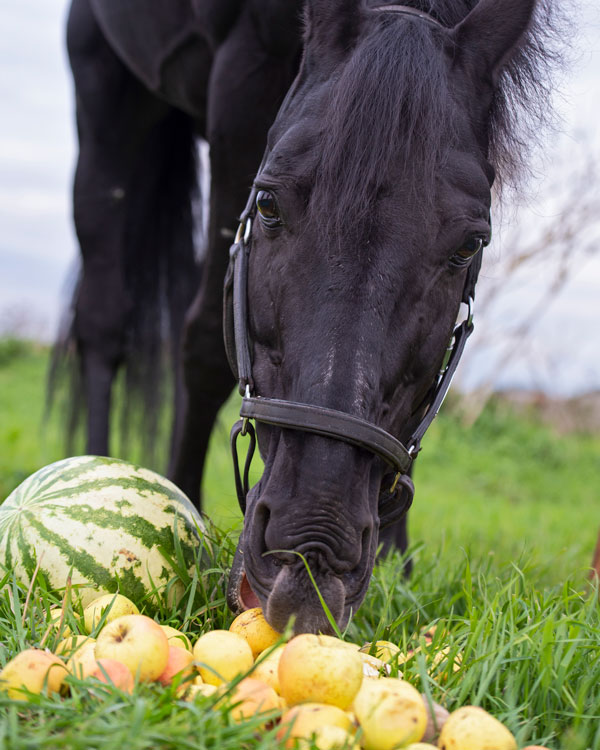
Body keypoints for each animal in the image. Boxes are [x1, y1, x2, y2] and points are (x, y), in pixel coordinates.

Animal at [61, 0, 556, 636]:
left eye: (469, 246)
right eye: (268, 204)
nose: (311, 556)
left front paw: (397, 565)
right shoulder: (241, 86)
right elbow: (204, 342)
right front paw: (184, 498)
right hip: (106, 93)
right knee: (105, 323)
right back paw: (96, 463)